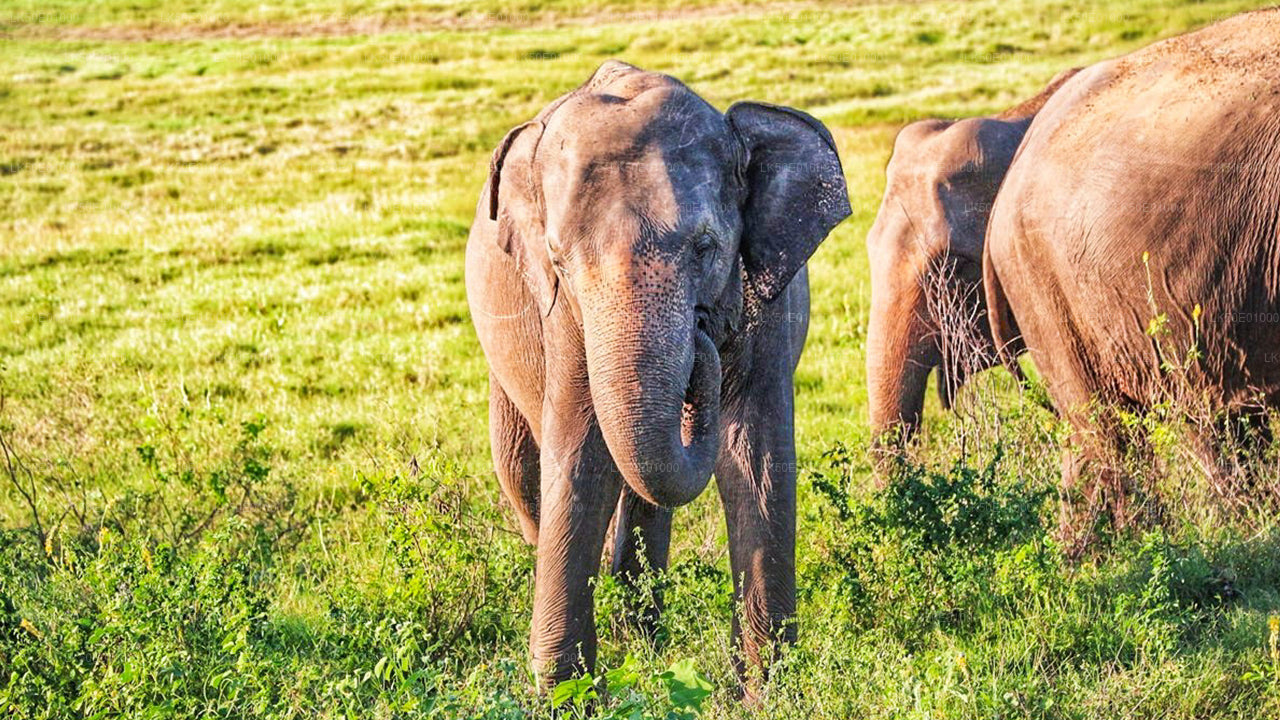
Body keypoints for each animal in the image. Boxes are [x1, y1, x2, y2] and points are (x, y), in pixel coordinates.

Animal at [465, 61, 850, 691]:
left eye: (706, 247)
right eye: (558, 259)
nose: (702, 339)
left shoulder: (771, 297)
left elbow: (755, 457)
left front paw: (767, 690)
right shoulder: (564, 316)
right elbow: (580, 453)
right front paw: (565, 694)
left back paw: (640, 634)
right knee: (521, 467)